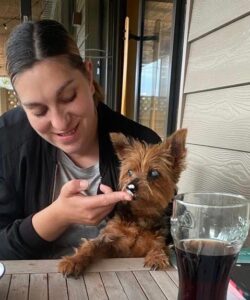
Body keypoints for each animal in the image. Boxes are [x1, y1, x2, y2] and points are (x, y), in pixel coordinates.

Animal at [58, 127, 187, 276]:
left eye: (154, 173)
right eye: (129, 172)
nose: (130, 186)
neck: (140, 216)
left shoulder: (157, 239)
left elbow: (160, 246)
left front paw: (156, 257)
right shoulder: (112, 241)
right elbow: (92, 244)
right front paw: (74, 260)